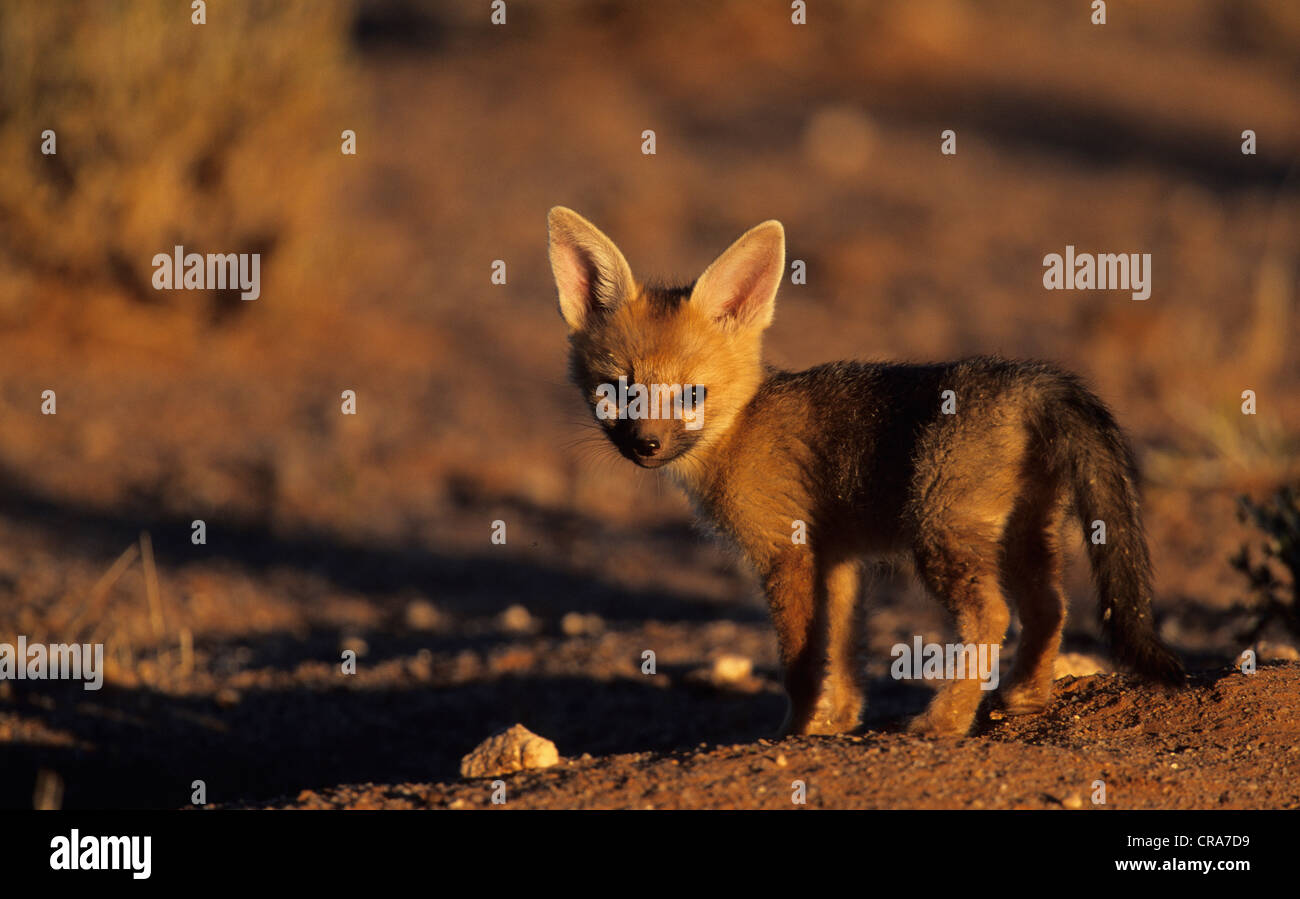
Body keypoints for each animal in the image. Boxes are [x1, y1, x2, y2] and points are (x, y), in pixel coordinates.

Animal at [547, 207, 1185, 738]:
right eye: (617, 391)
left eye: (692, 394)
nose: (646, 446)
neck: (741, 428)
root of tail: (1030, 378)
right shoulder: (839, 560)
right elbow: (845, 653)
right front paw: (840, 723)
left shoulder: (787, 553)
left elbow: (802, 662)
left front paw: (796, 732)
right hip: (1022, 536)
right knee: (1050, 607)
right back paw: (1024, 698)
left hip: (940, 536)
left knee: (993, 616)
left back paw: (944, 721)